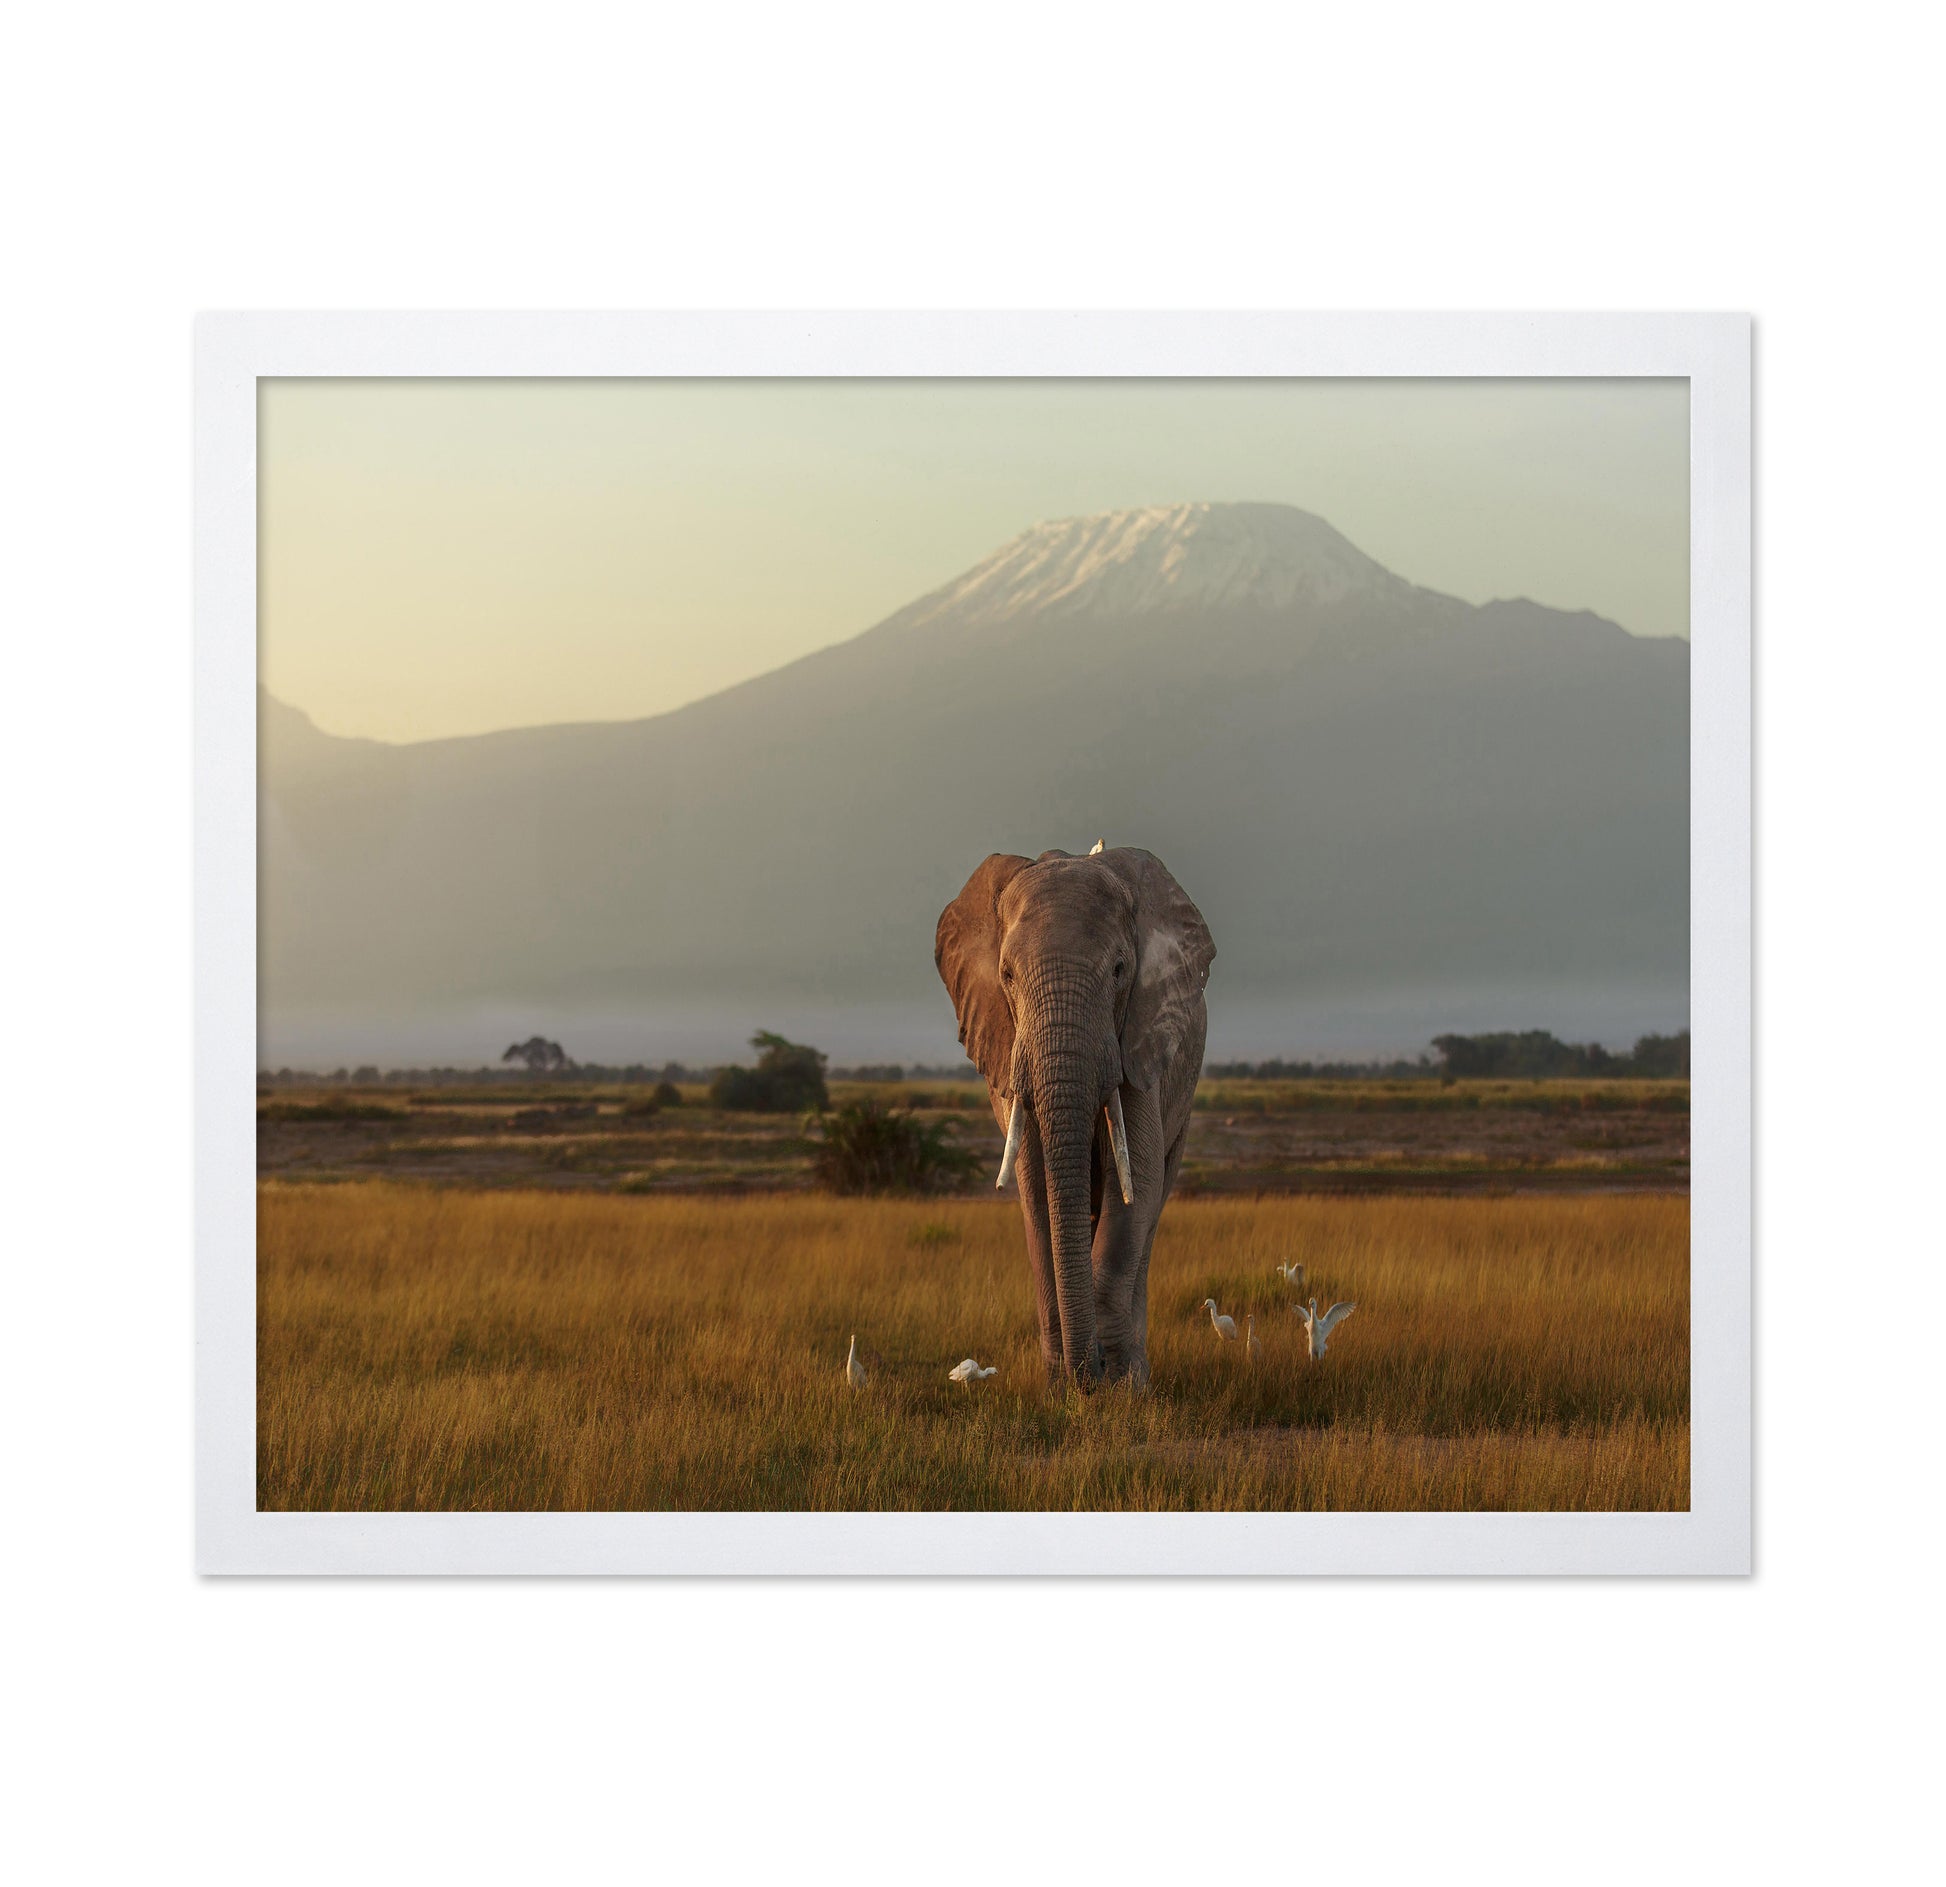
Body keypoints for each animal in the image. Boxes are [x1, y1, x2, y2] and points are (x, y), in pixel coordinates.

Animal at [935, 845, 1215, 1389]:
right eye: (1007, 976)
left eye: (1119, 970)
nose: (1091, 1376)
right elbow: (1037, 1188)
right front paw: (1061, 1387)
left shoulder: (1139, 1040)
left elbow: (1136, 1184)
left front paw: (1122, 1389)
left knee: (1153, 1206)